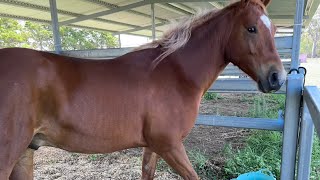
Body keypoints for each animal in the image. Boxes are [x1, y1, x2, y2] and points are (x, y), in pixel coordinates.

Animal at [0, 0, 284, 179]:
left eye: (273, 29)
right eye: (251, 28)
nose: (277, 78)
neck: (174, 73)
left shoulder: (154, 147)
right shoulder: (170, 146)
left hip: (25, 154)